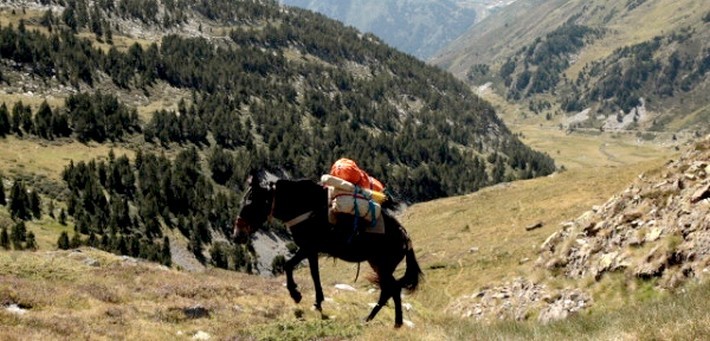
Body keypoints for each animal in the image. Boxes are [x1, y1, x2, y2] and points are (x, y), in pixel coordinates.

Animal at [234, 174, 422, 328]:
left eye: (250, 204)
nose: (237, 235)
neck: (305, 208)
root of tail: (405, 236)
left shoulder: (308, 247)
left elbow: (289, 265)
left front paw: (296, 294)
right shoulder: (312, 251)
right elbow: (314, 274)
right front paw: (317, 303)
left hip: (382, 265)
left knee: (392, 289)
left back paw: (384, 321)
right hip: (378, 265)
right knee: (390, 290)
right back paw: (383, 321)